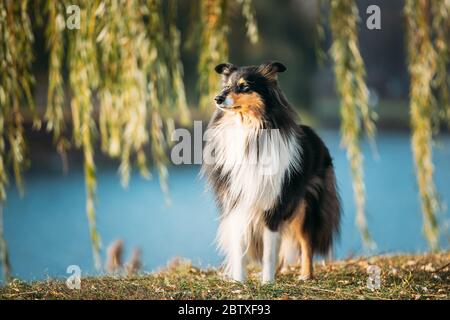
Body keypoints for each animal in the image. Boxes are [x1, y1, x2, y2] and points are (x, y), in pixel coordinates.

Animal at [202, 62, 340, 282]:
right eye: (227, 86)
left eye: (244, 86)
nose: (217, 98)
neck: (249, 131)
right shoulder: (237, 203)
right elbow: (240, 248)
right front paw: (239, 281)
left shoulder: (273, 206)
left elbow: (269, 252)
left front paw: (267, 282)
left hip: (306, 206)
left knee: (306, 242)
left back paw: (305, 275)